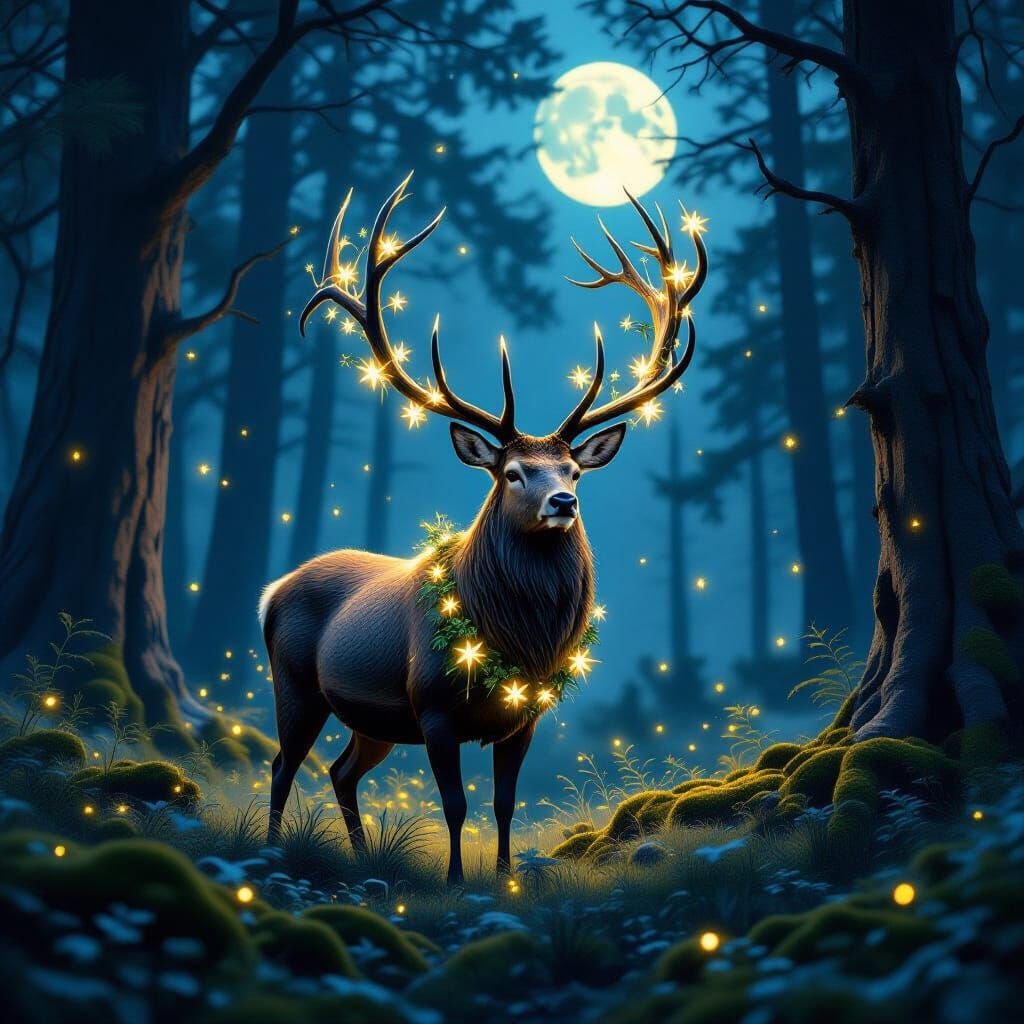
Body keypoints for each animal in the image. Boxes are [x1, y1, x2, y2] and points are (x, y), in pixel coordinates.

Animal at [260, 174, 707, 884]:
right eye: (514, 473)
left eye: (573, 471)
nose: (563, 503)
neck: (513, 639)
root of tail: (272, 591)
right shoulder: (434, 705)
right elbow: (455, 803)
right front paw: (453, 880)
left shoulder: (525, 712)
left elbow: (503, 802)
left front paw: (505, 877)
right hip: (297, 682)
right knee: (283, 764)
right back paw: (274, 847)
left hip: (370, 720)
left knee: (340, 770)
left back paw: (360, 856)